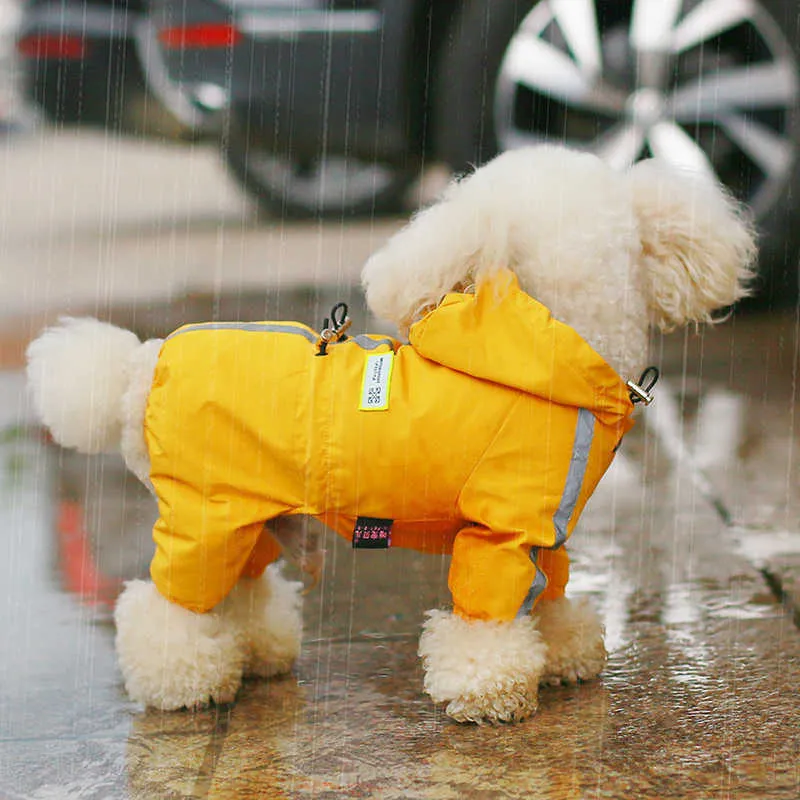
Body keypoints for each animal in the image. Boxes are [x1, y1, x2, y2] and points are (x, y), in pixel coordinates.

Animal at [26, 145, 756, 724]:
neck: (555, 344)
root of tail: (135, 371)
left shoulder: (544, 532)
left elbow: (549, 590)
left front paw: (562, 651)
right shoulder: (499, 532)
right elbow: (488, 615)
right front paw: (489, 690)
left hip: (252, 519)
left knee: (244, 591)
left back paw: (255, 654)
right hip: (206, 514)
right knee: (167, 605)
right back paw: (183, 683)